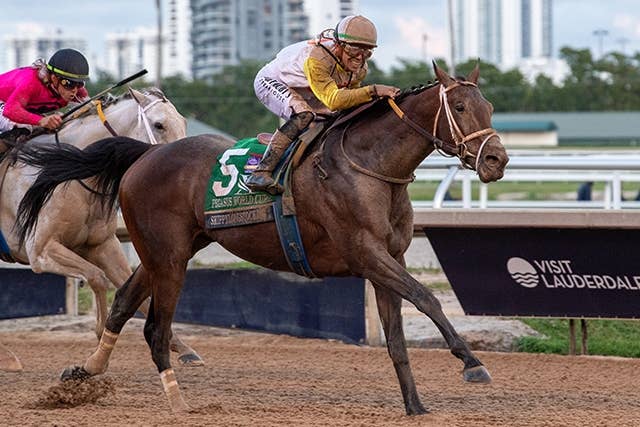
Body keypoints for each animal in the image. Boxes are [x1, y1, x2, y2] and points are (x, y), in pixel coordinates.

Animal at [0, 88, 203, 370]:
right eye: (159, 124)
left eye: (183, 122)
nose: (185, 161)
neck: (70, 171)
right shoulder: (41, 250)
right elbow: (97, 277)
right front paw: (99, 342)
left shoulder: (103, 245)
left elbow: (135, 293)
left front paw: (184, 349)